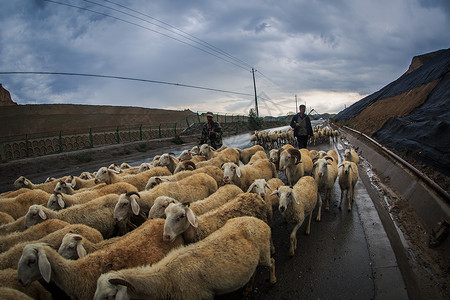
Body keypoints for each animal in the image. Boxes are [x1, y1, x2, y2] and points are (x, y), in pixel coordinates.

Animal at [93, 216, 276, 300]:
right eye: (95, 290)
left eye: (110, 296)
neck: (167, 277)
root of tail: (254, 219)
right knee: (252, 271)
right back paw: (247, 288)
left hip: (264, 253)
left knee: (272, 262)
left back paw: (272, 280)